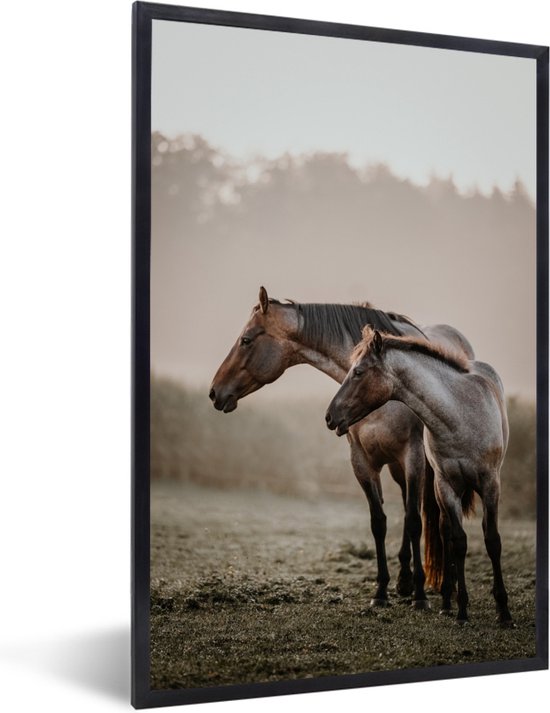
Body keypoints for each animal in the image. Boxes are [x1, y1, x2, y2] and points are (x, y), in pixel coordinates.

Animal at [209, 286, 474, 609]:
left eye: (246, 340)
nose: (214, 392)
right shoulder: (361, 462)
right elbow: (379, 522)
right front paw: (381, 592)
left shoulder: (412, 457)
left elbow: (414, 522)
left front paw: (421, 597)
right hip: (398, 469)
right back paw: (404, 581)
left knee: (438, 521)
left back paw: (444, 587)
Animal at [325, 326, 513, 626]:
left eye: (358, 372)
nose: (330, 416)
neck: (459, 416)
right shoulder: (446, 485)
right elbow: (458, 541)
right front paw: (461, 612)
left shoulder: (491, 484)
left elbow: (493, 541)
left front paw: (504, 612)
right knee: (445, 532)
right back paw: (447, 601)